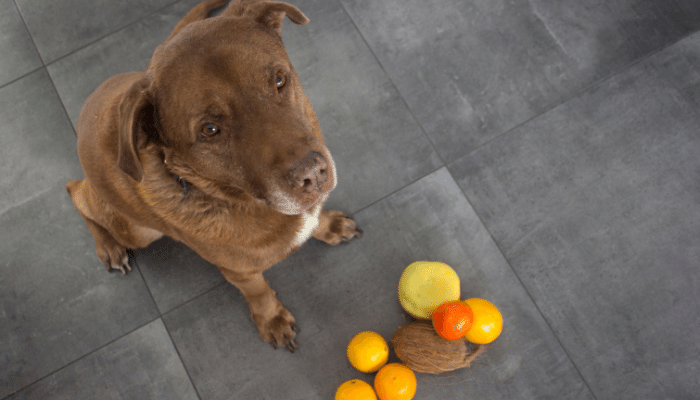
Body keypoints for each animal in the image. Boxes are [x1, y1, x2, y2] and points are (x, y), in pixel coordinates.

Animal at [65, 0, 360, 350]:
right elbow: (258, 291)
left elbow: (314, 220)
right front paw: (271, 318)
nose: (313, 175)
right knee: (76, 192)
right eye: (210, 130)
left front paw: (328, 225)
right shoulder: (238, 272)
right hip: (136, 230)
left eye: (278, 80)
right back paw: (108, 245)